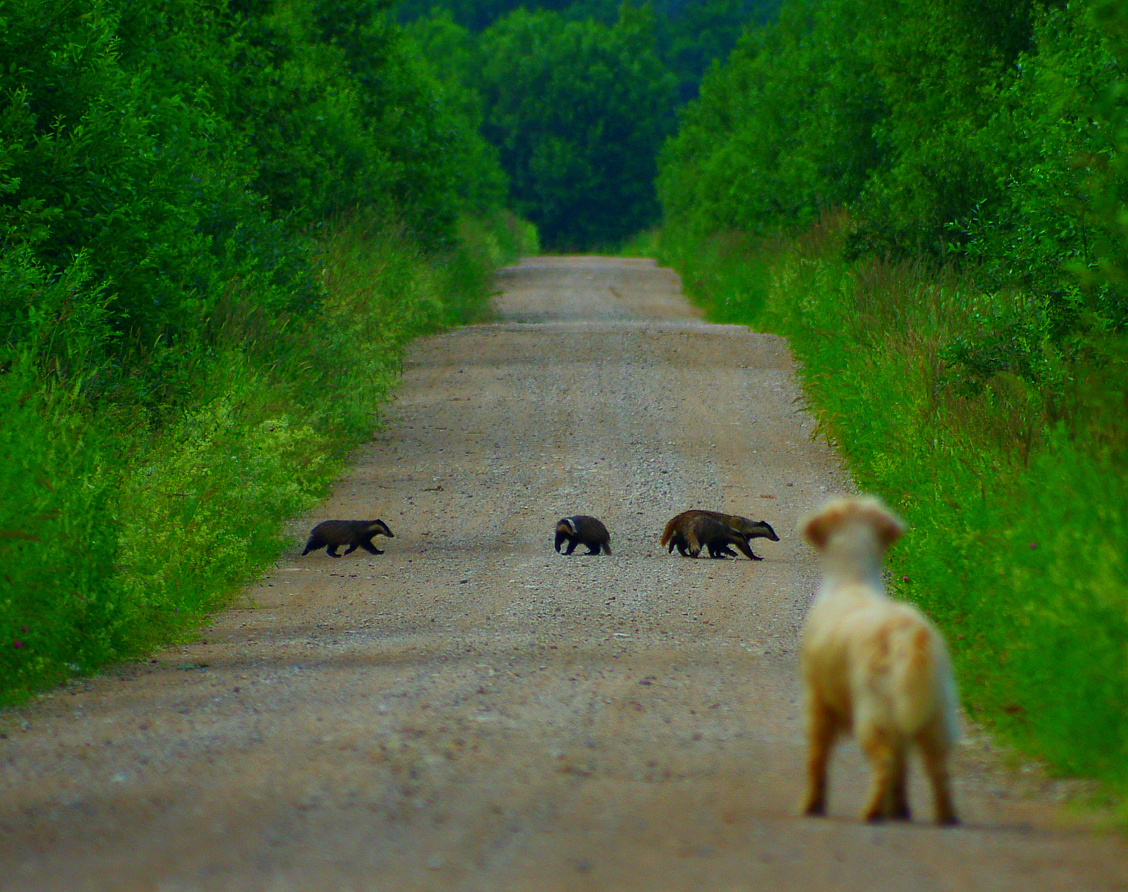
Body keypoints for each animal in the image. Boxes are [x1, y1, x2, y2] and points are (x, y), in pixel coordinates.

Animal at [798, 496, 956, 825]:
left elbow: (816, 757)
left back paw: (870, 812)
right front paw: (900, 809)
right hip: (934, 714)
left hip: (875, 710)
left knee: (884, 761)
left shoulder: (817, 700)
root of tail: (909, 632)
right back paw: (944, 816)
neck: (852, 580)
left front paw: (812, 804)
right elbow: (902, 770)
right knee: (938, 768)